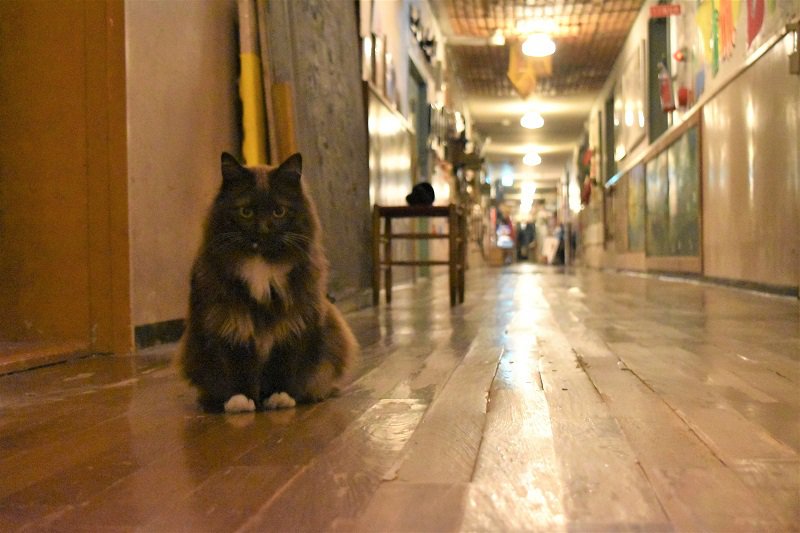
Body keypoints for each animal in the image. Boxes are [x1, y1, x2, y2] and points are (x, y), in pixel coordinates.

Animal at [179, 152, 358, 413]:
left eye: (278, 212)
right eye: (246, 212)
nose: (262, 230)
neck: (261, 264)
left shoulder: (294, 323)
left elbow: (285, 365)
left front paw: (279, 397)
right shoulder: (229, 322)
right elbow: (235, 367)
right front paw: (240, 401)